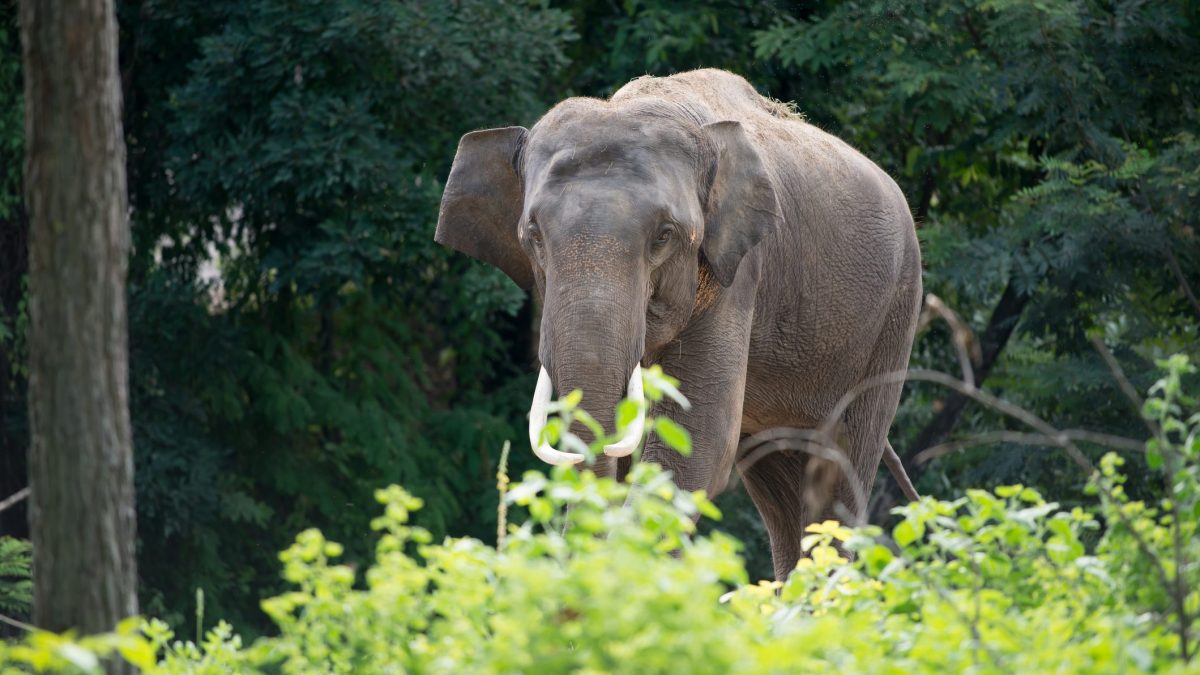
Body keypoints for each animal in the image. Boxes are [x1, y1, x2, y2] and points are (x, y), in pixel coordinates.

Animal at [435, 68, 922, 581]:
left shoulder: (738, 272)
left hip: (895, 313)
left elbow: (699, 442)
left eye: (664, 236)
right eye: (533, 236)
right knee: (781, 484)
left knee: (840, 473)